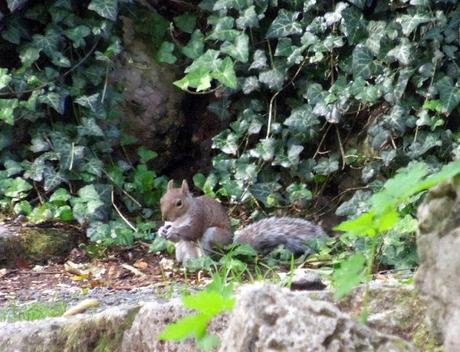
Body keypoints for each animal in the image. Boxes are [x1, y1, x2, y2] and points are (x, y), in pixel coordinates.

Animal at [158, 180, 328, 262]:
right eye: (161, 200)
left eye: (179, 203)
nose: (164, 218)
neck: (180, 219)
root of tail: (230, 248)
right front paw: (162, 231)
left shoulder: (200, 217)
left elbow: (192, 231)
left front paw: (174, 231)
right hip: (181, 250)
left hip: (213, 236)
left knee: (212, 256)